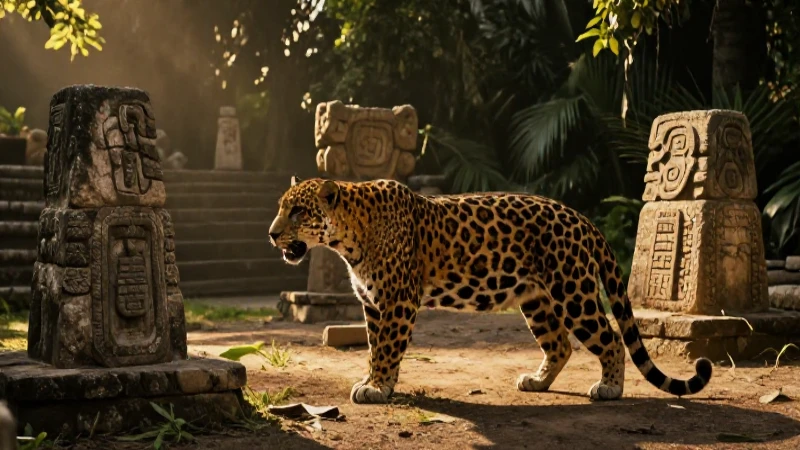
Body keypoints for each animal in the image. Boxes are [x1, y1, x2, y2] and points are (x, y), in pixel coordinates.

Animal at [268, 176, 713, 404]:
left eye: (298, 211)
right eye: (280, 207)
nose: (271, 234)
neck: (348, 238)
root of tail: (583, 219)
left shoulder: (397, 301)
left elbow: (389, 348)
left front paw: (377, 388)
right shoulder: (373, 303)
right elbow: (376, 348)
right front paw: (378, 382)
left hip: (574, 293)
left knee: (611, 338)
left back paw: (610, 389)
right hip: (537, 300)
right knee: (559, 345)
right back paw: (537, 382)